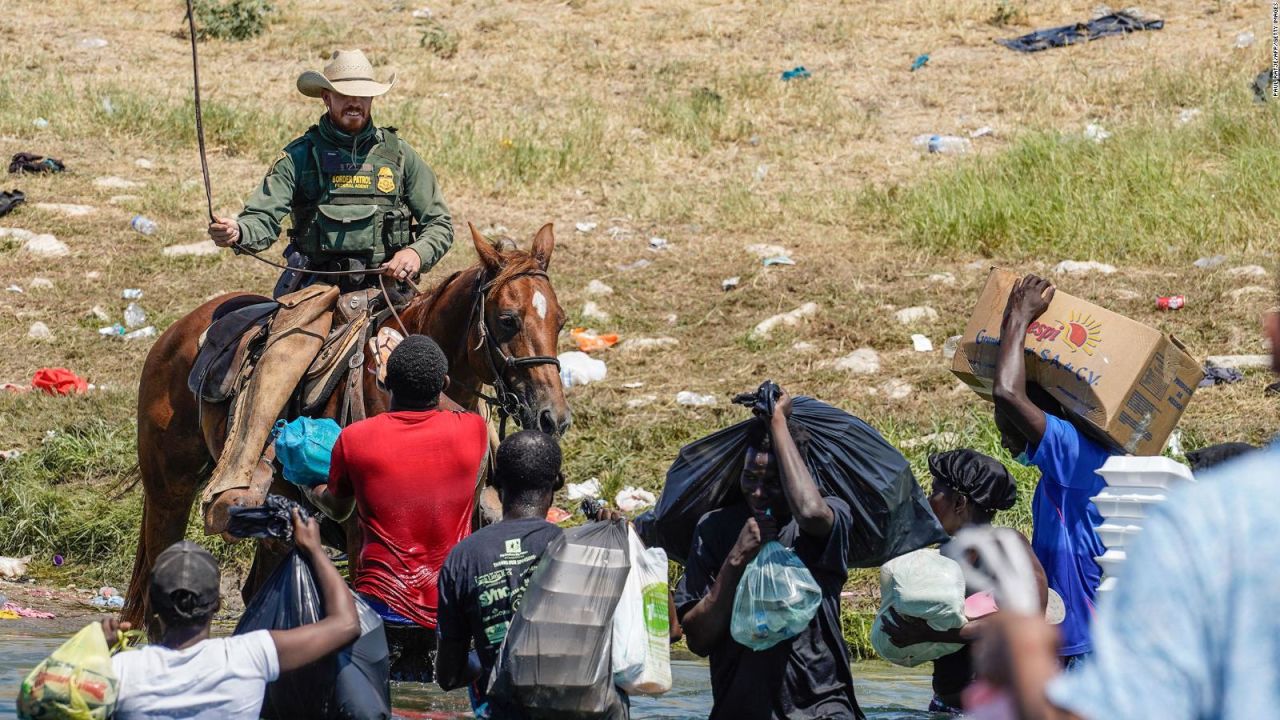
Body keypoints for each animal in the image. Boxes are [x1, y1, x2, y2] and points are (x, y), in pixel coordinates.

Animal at [123, 221, 570, 625]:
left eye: (561, 320)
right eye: (508, 319)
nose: (553, 416)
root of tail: (179, 330)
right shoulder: (362, 534)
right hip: (169, 493)